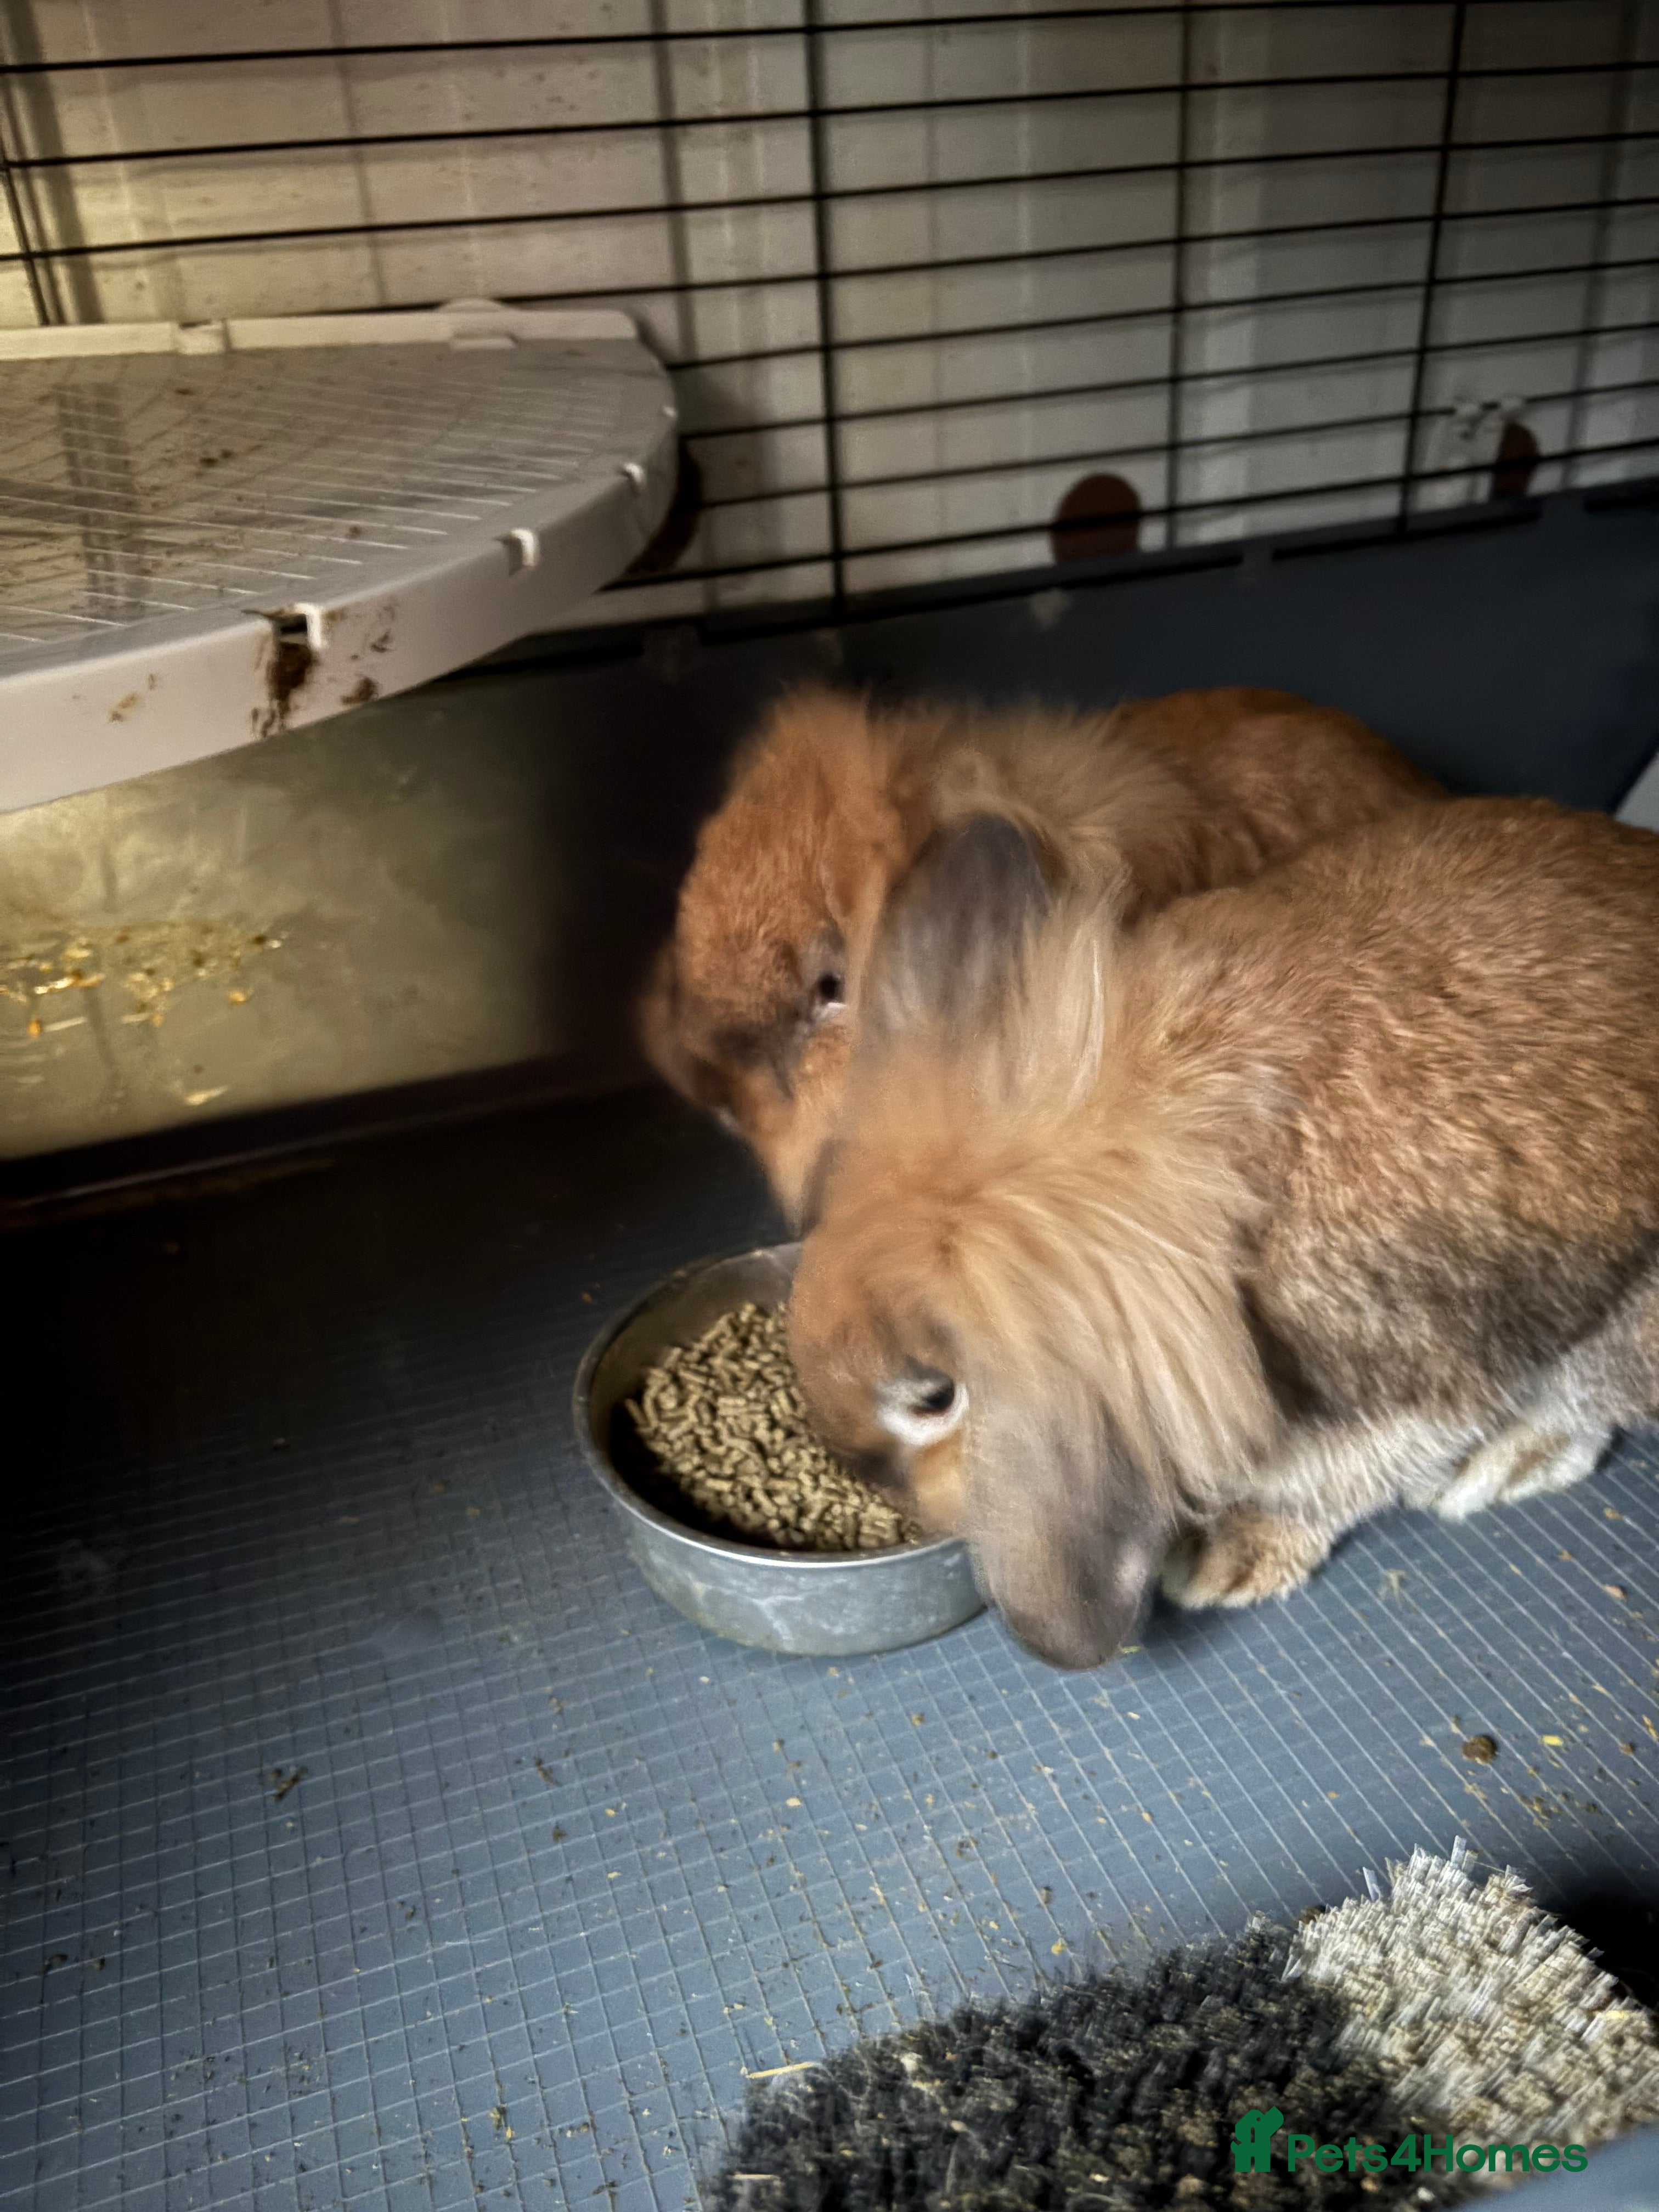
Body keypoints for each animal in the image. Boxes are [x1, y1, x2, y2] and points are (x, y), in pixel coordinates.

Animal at [786, 799, 1659, 1670]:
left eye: (933, 1397)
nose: (861, 1472)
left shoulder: (1425, 1371)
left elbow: (1346, 1474)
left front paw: (1225, 1556)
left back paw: (1507, 1462)